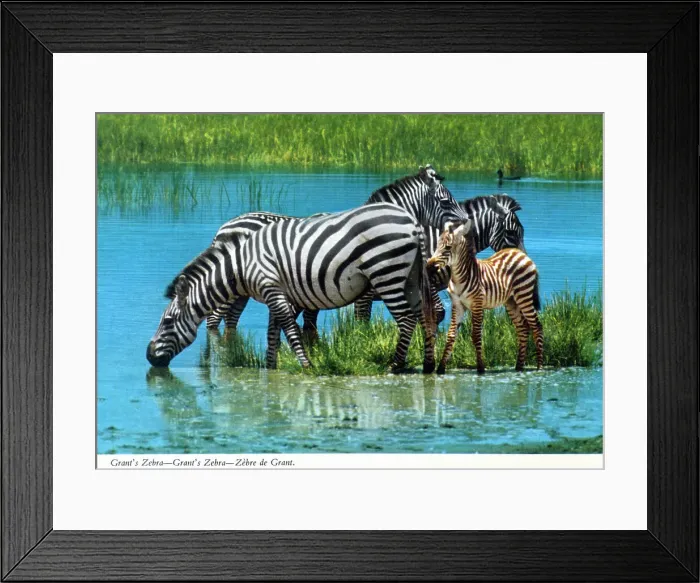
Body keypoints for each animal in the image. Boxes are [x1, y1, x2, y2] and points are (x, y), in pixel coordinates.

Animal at [146, 203, 440, 372]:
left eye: (168, 322)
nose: (149, 356)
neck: (241, 265)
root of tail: (413, 222)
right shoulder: (275, 292)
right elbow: (273, 332)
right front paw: (270, 367)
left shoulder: (272, 289)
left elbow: (289, 328)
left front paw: (307, 365)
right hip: (411, 278)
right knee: (423, 316)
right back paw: (428, 364)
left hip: (386, 273)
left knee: (405, 319)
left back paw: (396, 365)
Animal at [426, 219, 543, 374]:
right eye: (437, 245)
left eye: (448, 247)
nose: (428, 268)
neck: (458, 278)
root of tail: (520, 253)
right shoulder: (458, 305)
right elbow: (451, 335)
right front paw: (440, 369)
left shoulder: (477, 303)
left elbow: (476, 336)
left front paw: (481, 368)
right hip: (511, 302)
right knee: (523, 328)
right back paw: (519, 367)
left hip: (524, 296)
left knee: (537, 326)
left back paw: (539, 367)